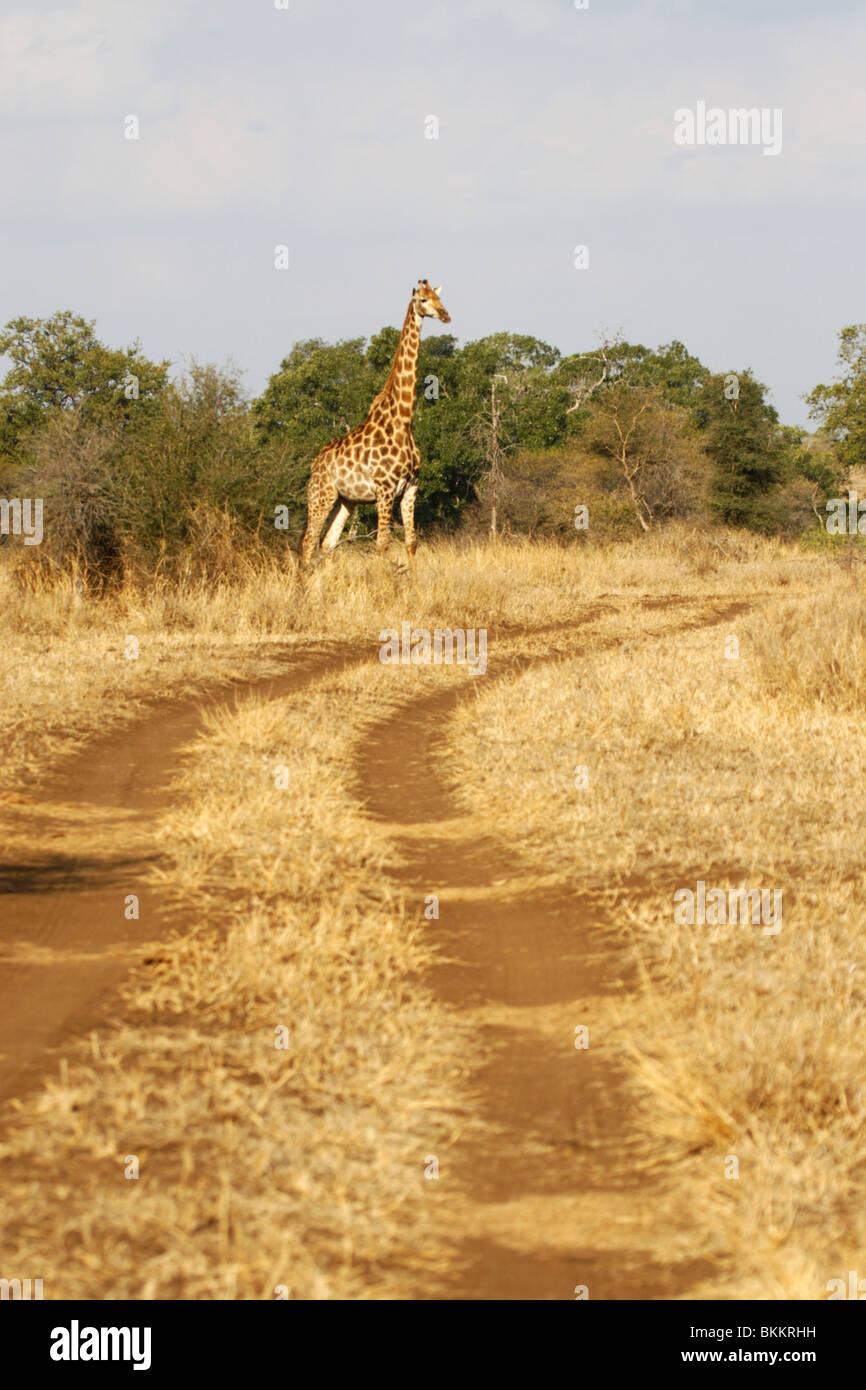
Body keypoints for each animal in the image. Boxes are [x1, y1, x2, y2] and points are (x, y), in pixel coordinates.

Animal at [299, 279, 451, 578]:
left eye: (439, 298)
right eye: (423, 300)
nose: (445, 315)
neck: (403, 422)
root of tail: (315, 463)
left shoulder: (411, 488)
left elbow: (411, 542)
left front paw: (415, 586)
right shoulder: (385, 490)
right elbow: (382, 544)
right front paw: (383, 585)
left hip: (345, 500)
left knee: (327, 542)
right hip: (320, 496)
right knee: (308, 541)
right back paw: (303, 587)